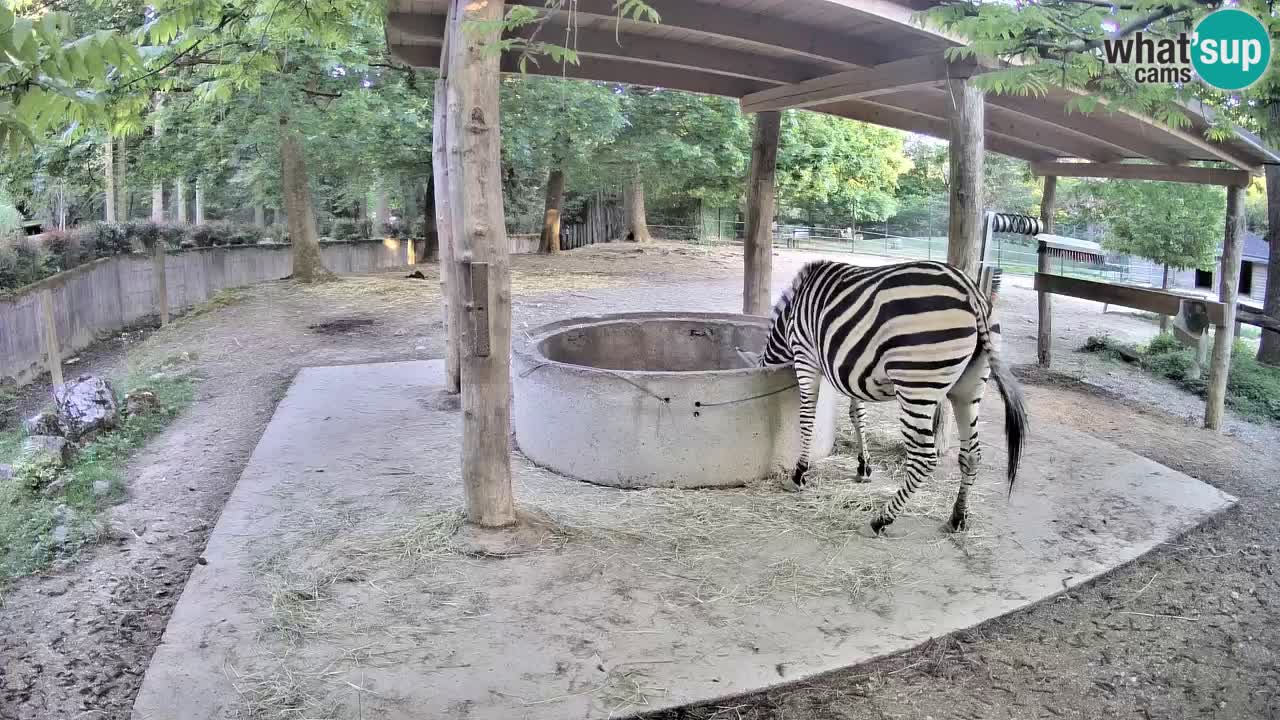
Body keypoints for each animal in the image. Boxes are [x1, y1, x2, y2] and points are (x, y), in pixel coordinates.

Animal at [756, 259, 1028, 535]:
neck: (790, 317)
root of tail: (971, 292)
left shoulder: (806, 356)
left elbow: (807, 418)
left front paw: (799, 473)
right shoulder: (851, 371)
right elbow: (858, 416)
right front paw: (864, 467)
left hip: (917, 384)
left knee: (923, 458)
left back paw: (881, 519)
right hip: (970, 388)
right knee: (972, 455)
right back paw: (957, 517)